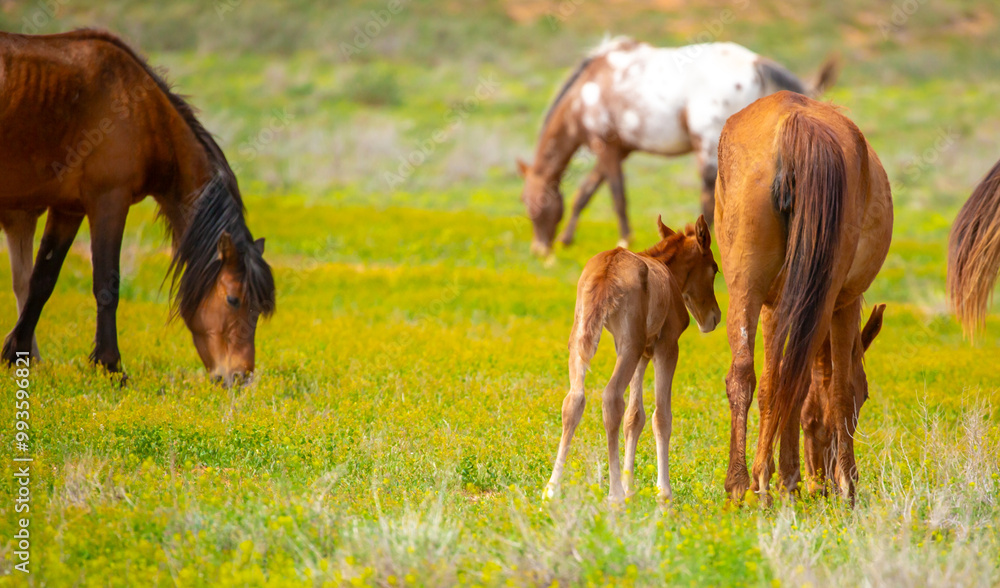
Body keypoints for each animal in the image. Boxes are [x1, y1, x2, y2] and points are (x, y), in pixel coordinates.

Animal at [0, 30, 276, 386]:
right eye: (233, 299)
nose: (240, 376)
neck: (139, 109)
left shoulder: (68, 209)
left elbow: (41, 281)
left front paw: (15, 356)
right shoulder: (109, 200)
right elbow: (106, 284)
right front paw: (110, 366)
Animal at [517, 36, 839, 256]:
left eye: (536, 203)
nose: (539, 249)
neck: (589, 88)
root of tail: (755, 62)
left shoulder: (604, 144)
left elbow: (617, 195)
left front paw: (624, 239)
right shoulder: (619, 149)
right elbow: (585, 193)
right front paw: (567, 238)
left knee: (711, 199)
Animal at [545, 214, 721, 503]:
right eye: (715, 268)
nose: (714, 317)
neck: (667, 270)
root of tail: (608, 268)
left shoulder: (642, 353)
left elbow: (634, 416)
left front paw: (631, 488)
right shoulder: (666, 347)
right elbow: (661, 416)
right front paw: (662, 492)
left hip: (584, 336)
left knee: (574, 399)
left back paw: (551, 489)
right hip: (630, 343)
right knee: (611, 397)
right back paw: (614, 493)